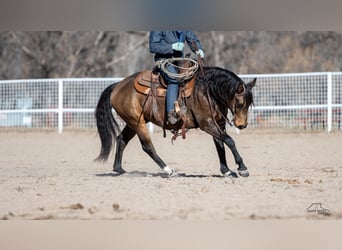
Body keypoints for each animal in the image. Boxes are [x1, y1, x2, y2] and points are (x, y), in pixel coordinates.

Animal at [95, 65, 255, 177]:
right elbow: (229, 141)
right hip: (137, 123)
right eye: (240, 103)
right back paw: (169, 170)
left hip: (133, 122)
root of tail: (117, 86)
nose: (242, 125)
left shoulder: (217, 124)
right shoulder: (207, 124)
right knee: (147, 147)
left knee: (121, 139)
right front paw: (242, 168)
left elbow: (220, 145)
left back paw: (119, 169)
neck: (207, 91)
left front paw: (226, 170)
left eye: (249, 103)